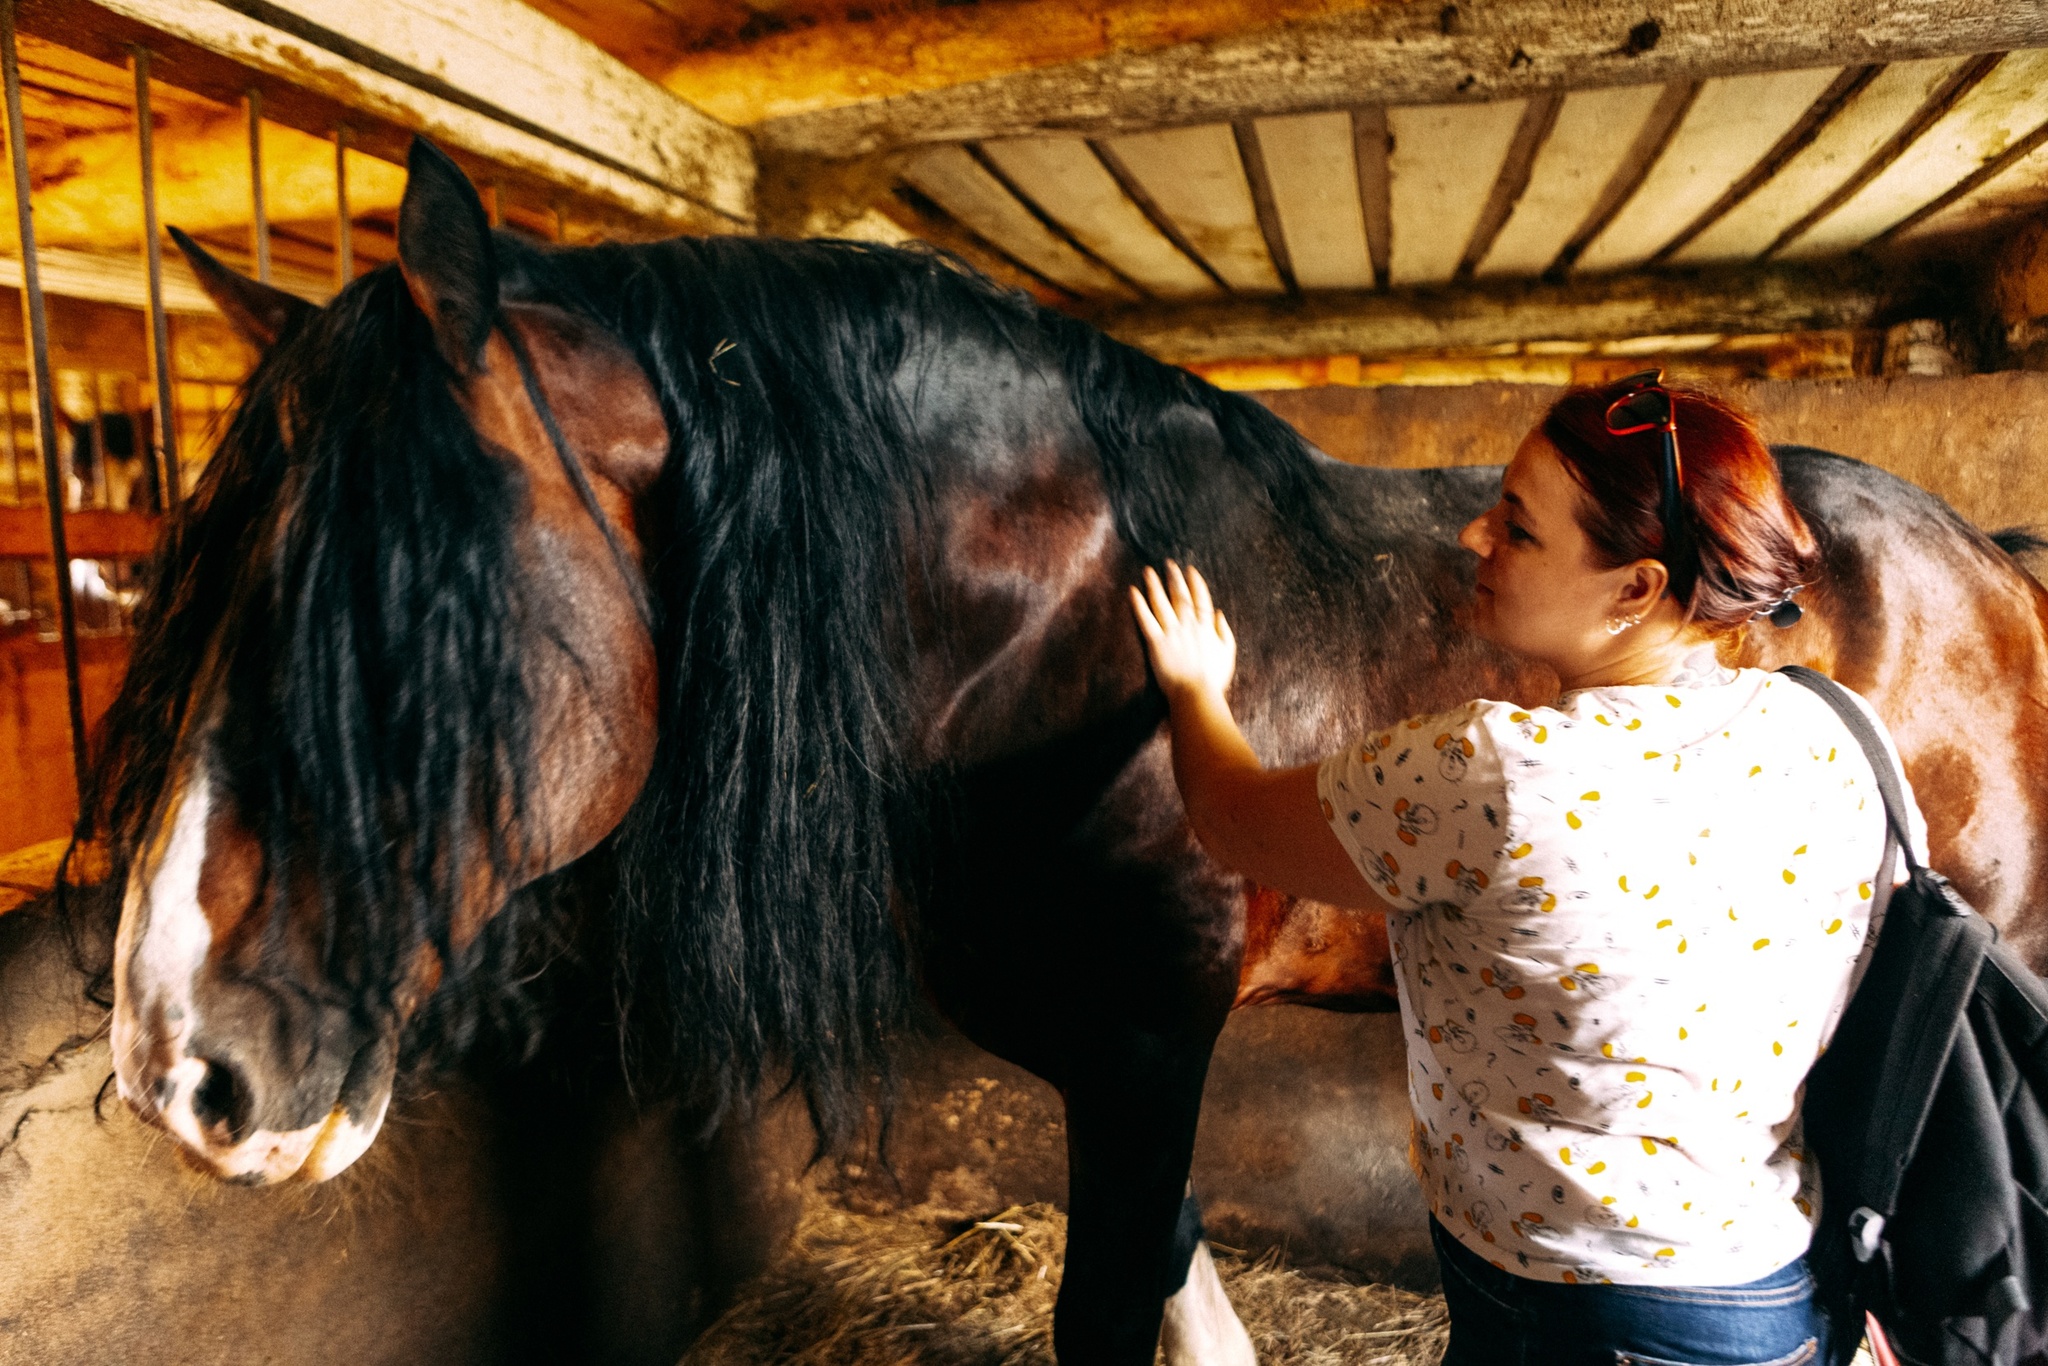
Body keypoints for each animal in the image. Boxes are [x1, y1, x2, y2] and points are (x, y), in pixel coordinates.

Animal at [88, 141, 2048, 1366]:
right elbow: (1165, 1260)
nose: (181, 1068)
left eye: (408, 620)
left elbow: (1109, 1300)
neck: (1050, 643)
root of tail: (1977, 548)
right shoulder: (1115, 1062)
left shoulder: (1144, 1042)